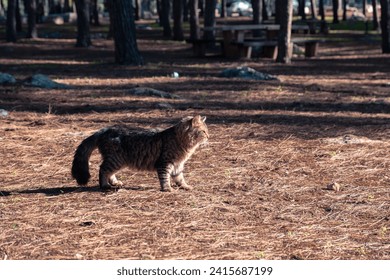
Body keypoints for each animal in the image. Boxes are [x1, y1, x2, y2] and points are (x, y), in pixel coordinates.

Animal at [71, 115, 209, 191]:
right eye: (203, 131)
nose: (209, 136)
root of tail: (105, 130)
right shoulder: (165, 162)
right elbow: (165, 178)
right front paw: (167, 189)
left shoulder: (178, 164)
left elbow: (180, 178)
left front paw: (185, 186)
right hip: (116, 159)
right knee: (103, 169)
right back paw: (105, 185)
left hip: (118, 161)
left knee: (109, 172)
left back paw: (115, 182)